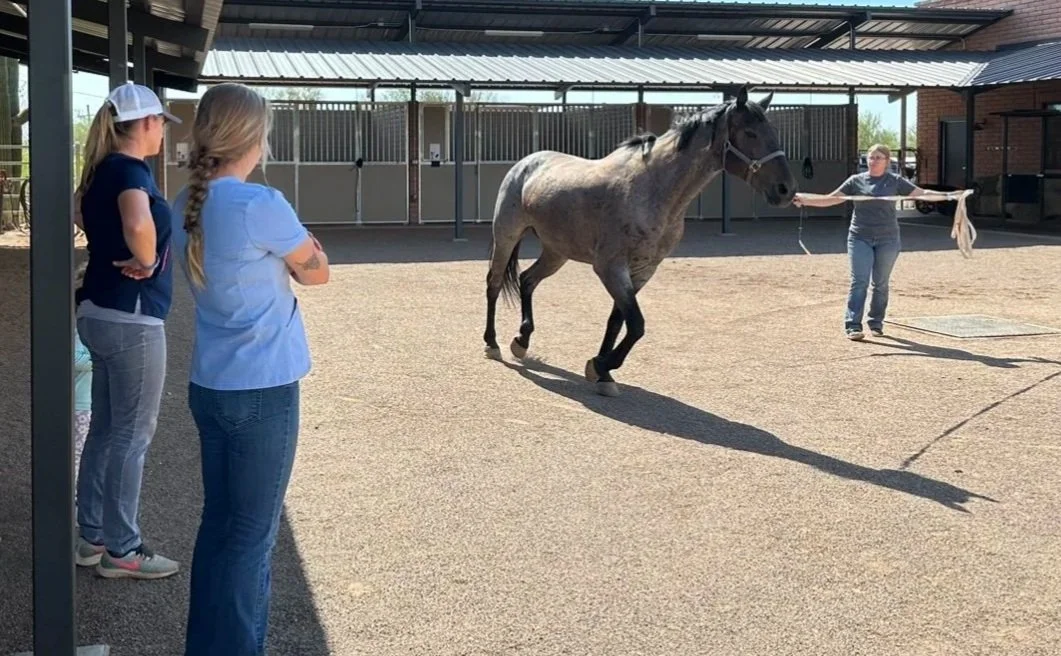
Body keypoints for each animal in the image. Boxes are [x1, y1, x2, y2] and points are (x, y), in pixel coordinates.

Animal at [482, 85, 797, 396]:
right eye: (750, 133)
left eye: (773, 132)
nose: (786, 190)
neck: (650, 191)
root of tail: (527, 163)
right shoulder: (610, 268)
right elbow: (636, 324)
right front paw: (600, 365)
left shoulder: (643, 269)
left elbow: (618, 320)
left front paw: (603, 372)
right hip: (507, 236)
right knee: (494, 284)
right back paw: (492, 344)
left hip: (556, 251)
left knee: (527, 280)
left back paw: (521, 341)